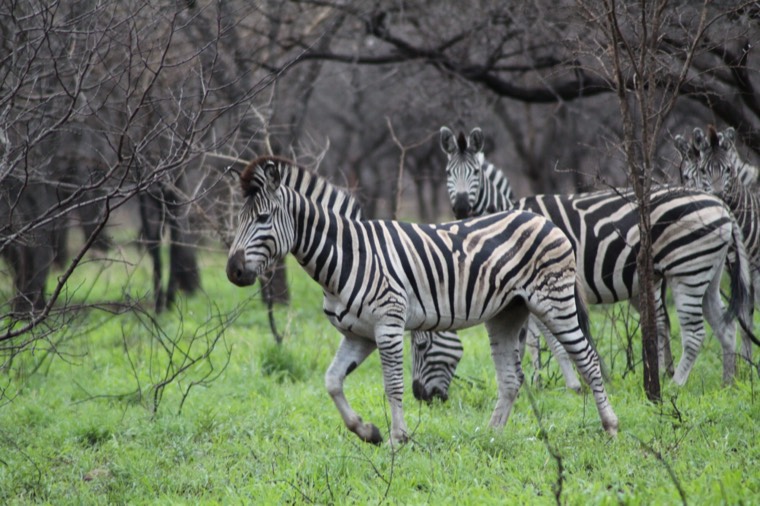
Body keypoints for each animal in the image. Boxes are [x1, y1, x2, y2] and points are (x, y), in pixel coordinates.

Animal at [422, 126, 757, 401]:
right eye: (448, 172)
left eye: (476, 172)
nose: (460, 208)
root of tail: (722, 207)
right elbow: (536, 337)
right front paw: (544, 380)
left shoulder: (537, 283)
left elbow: (544, 338)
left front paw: (563, 383)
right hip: (706, 272)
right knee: (724, 326)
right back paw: (728, 383)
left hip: (687, 270)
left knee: (696, 333)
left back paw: (675, 386)